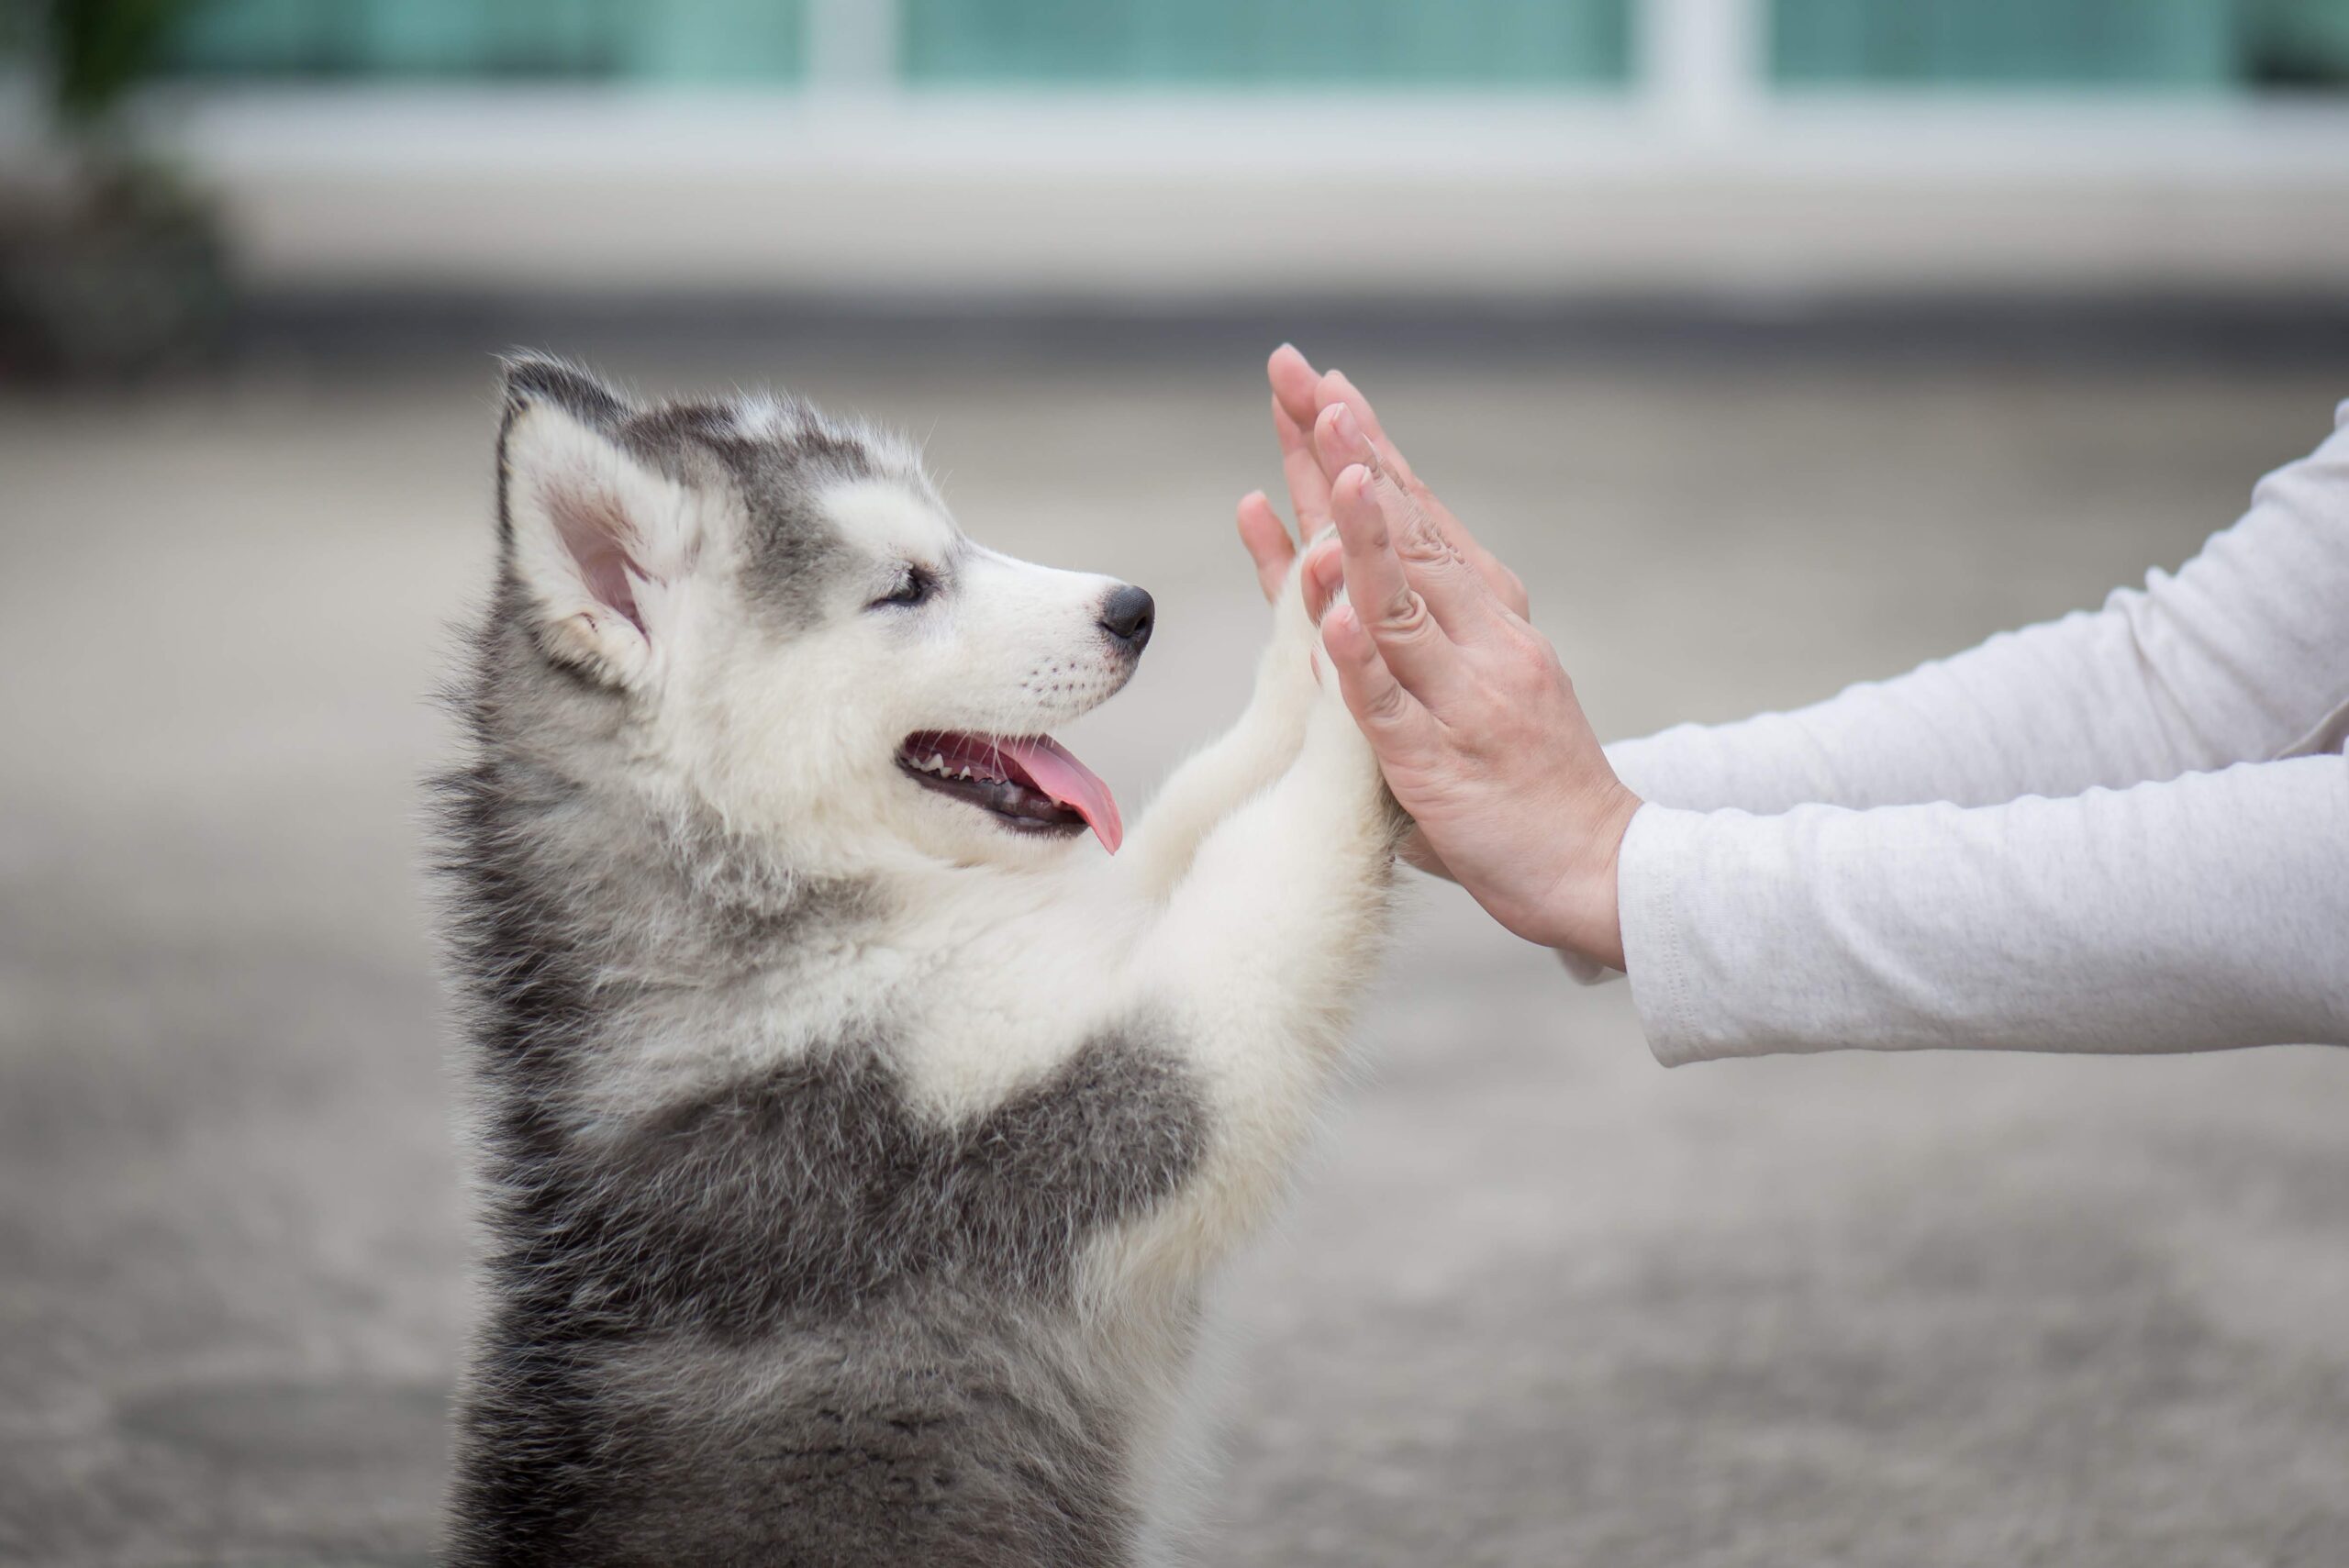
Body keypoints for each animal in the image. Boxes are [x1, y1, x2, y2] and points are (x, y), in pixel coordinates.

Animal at [434, 354, 1399, 1568]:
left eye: (957, 538)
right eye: (906, 586)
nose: (1132, 609)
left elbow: (1194, 810)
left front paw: (1314, 610)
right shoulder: (1038, 1117)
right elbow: (1265, 873)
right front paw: (1371, 668)